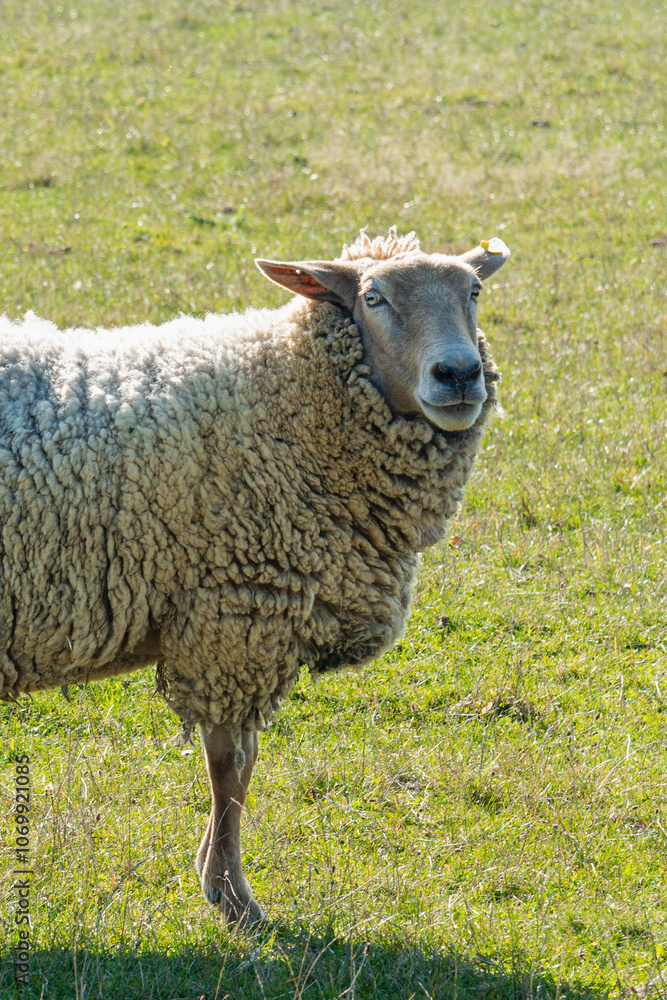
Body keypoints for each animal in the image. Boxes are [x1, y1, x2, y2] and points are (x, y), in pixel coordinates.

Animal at [0, 227, 510, 924]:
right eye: (373, 298)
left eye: (475, 290)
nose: (458, 374)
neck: (281, 403)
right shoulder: (235, 622)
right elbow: (230, 769)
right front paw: (232, 895)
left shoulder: (249, 631)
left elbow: (243, 768)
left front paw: (214, 877)